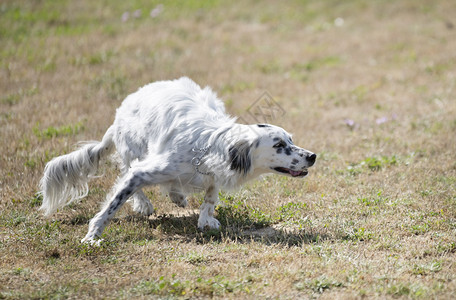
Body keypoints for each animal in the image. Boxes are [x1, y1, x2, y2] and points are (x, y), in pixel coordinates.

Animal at [39, 77, 316, 244]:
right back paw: (145, 203)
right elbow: (113, 204)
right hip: (134, 150)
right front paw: (93, 235)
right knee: (128, 172)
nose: (312, 156)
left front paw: (205, 219)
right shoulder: (144, 171)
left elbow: (210, 196)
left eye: (291, 139)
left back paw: (177, 196)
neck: (210, 145)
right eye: (279, 145)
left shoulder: (212, 174)